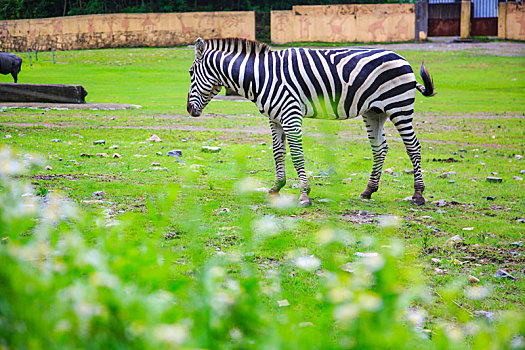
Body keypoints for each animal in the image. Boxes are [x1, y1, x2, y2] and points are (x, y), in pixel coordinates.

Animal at [185, 37, 434, 208]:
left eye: (190, 72)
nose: (188, 109)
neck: (261, 76)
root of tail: (402, 58)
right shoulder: (274, 118)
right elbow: (278, 152)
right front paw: (276, 188)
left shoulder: (291, 113)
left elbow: (296, 154)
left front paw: (304, 194)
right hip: (374, 111)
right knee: (380, 149)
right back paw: (368, 191)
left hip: (399, 106)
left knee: (413, 147)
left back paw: (418, 194)